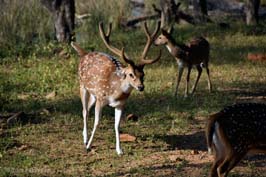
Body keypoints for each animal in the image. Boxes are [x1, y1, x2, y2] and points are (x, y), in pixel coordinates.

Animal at [70, 21, 161, 156]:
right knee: (84, 111)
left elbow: (117, 125)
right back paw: (85, 139)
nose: (141, 87)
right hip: (83, 86)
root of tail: (84, 54)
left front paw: (119, 150)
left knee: (87, 109)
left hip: (93, 95)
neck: (114, 92)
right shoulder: (101, 99)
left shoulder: (120, 104)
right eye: (130, 74)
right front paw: (89, 146)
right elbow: (97, 122)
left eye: (143, 74)